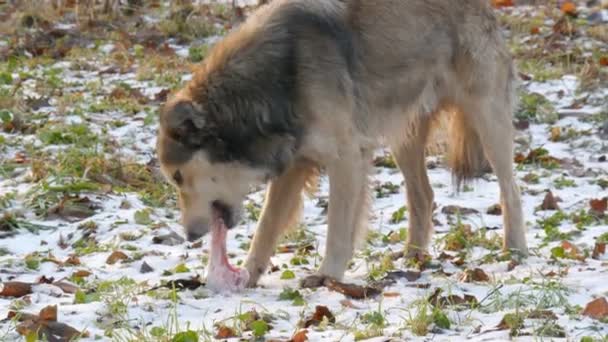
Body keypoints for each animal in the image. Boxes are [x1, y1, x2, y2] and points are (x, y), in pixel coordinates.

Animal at [156, 0, 528, 288]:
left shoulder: (345, 158)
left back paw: (515, 251)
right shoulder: (295, 167)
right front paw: (248, 275)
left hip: (487, 121)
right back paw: (413, 256)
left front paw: (328, 276)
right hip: (403, 138)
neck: (274, 83)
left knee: (510, 190)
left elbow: (337, 226)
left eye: (178, 177)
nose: (190, 236)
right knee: (423, 195)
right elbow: (266, 228)